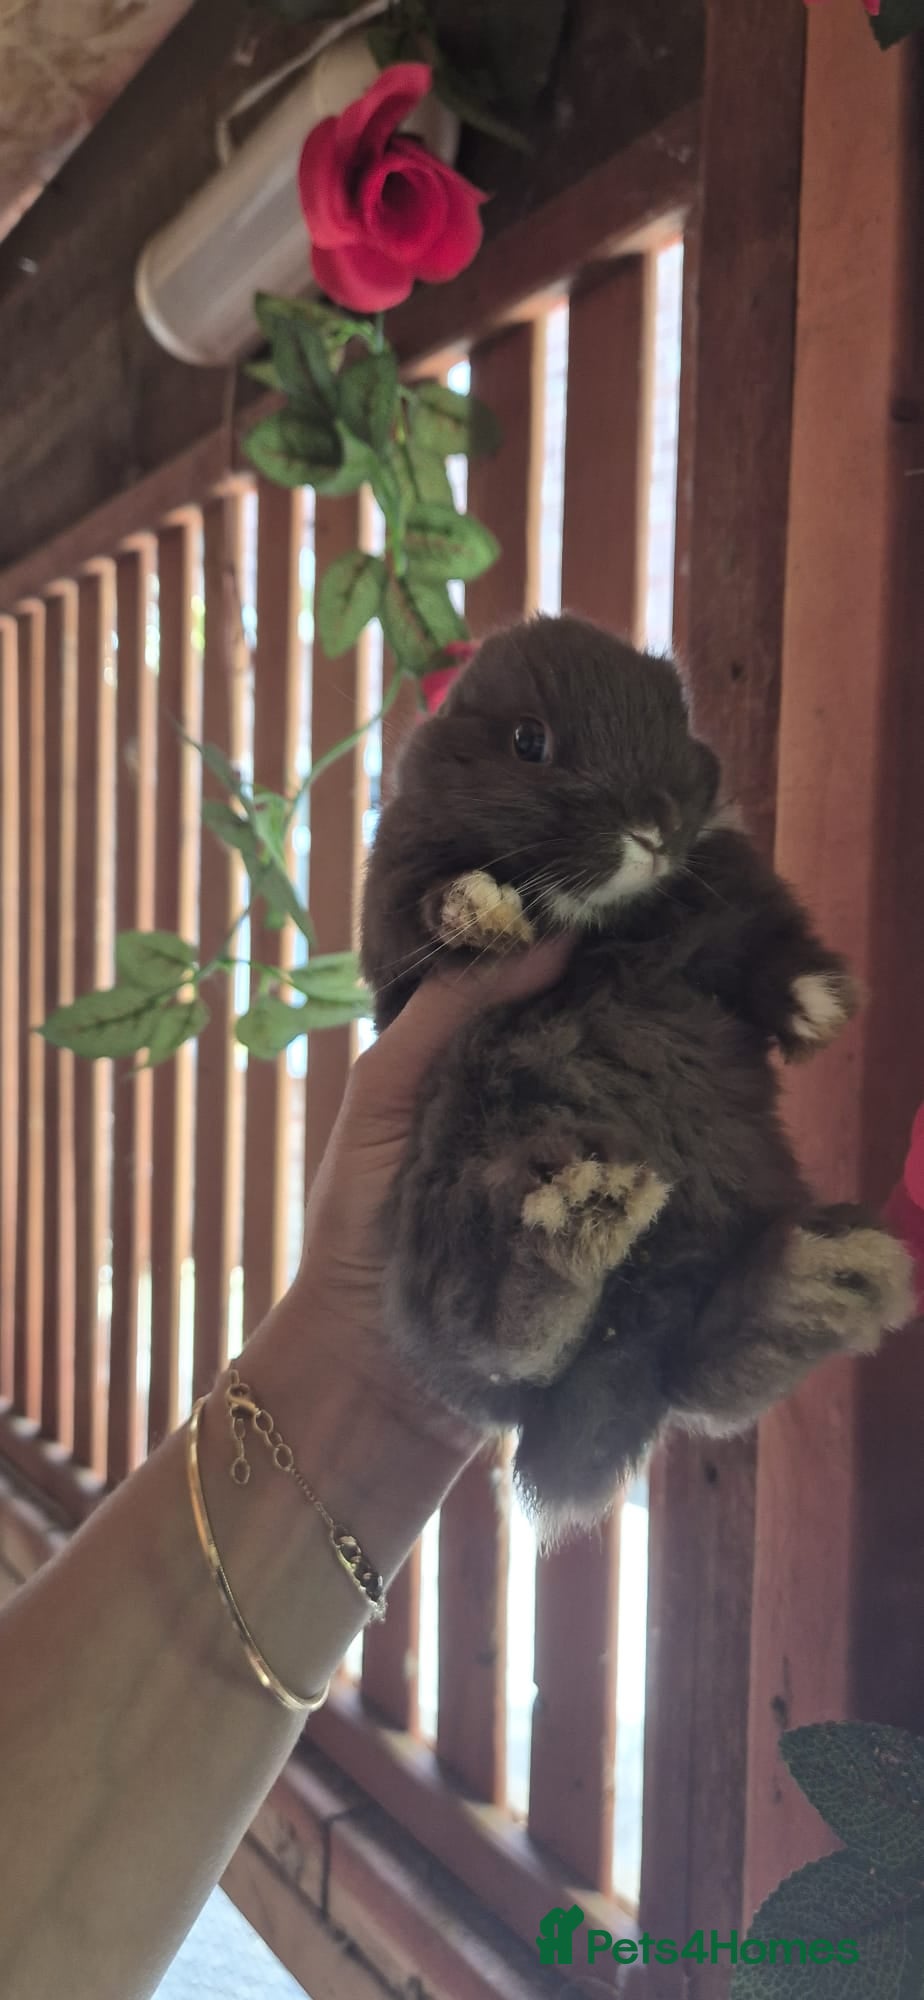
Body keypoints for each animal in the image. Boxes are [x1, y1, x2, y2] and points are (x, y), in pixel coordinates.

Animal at [361, 615, 914, 1532]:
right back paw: (570, 1224)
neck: (611, 919)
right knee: (504, 1345)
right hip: (460, 1176)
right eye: (530, 741)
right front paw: (486, 909)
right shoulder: (397, 924)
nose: (652, 830)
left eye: (675, 718)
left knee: (697, 1367)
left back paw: (815, 1284)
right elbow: (432, 910)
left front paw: (821, 1007)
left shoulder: (733, 902)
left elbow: (765, 953)